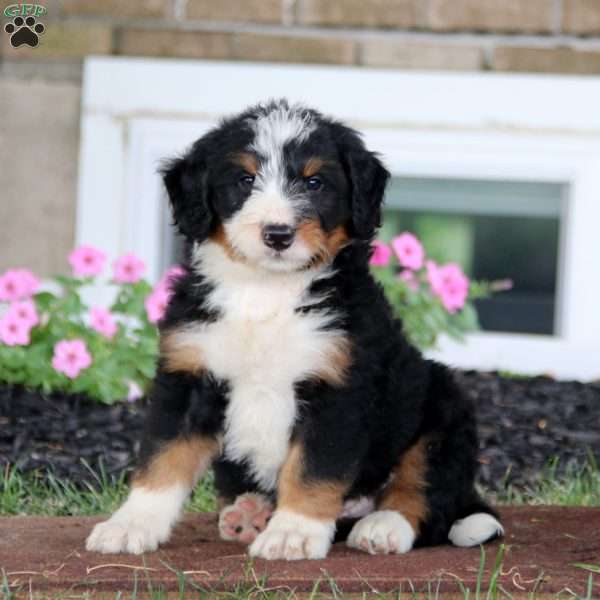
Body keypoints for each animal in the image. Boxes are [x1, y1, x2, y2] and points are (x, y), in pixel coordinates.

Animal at [86, 99, 504, 564]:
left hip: (442, 407)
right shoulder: (188, 376)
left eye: (315, 182)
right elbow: (162, 459)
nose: (278, 234)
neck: (265, 293)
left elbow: (312, 471)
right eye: (245, 179)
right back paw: (249, 513)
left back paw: (383, 525)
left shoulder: (338, 388)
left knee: (425, 491)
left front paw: (294, 534)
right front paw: (130, 525)